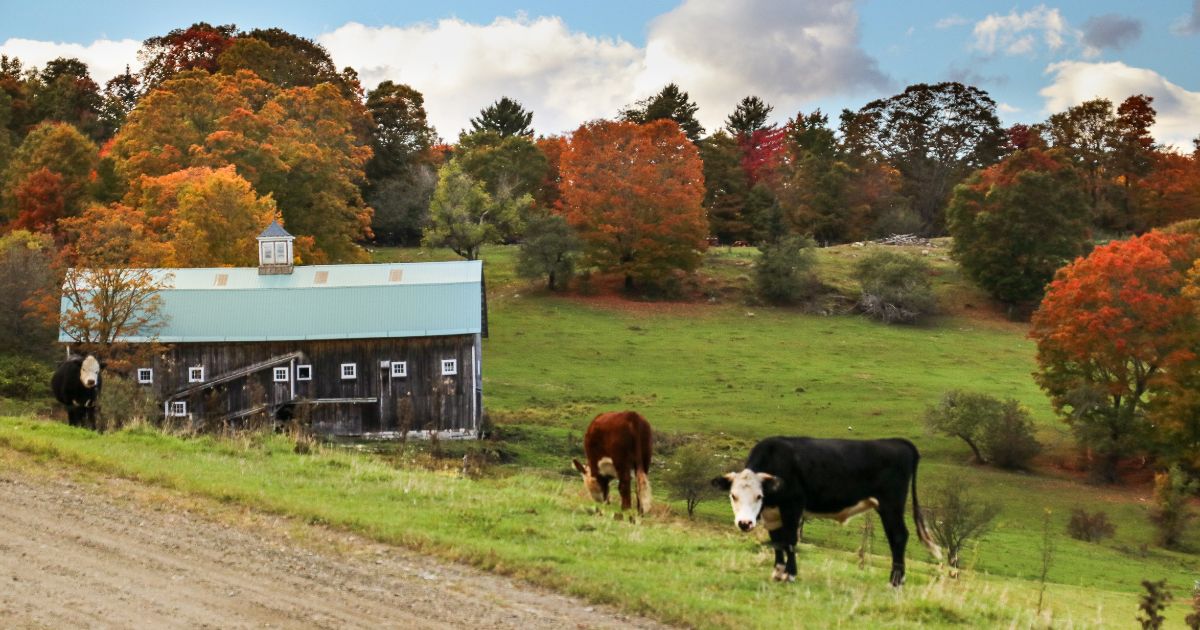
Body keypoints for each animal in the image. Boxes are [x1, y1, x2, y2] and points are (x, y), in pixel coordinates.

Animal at [710, 432, 945, 585]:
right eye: (733, 495)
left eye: (759, 496)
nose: (744, 523)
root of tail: (898, 442)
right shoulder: (773, 514)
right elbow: (777, 541)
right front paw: (777, 572)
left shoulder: (793, 506)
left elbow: (790, 541)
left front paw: (790, 574)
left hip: (891, 505)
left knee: (898, 537)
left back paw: (895, 581)